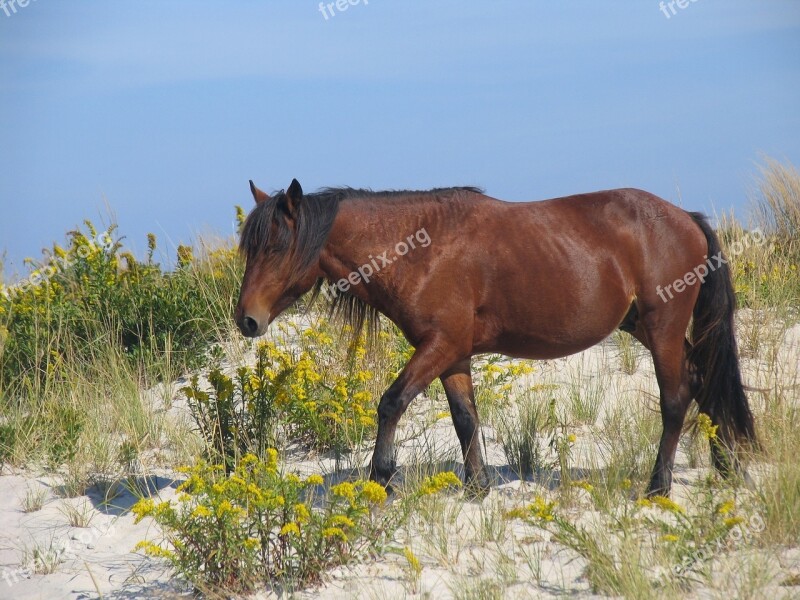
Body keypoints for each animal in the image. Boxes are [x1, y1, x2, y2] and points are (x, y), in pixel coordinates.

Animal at [233, 177, 756, 496]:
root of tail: (686, 218)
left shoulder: (439, 346)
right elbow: (465, 418)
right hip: (646, 327)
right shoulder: (453, 354)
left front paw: (380, 477)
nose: (246, 320)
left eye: (276, 246)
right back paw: (727, 468)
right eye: (248, 248)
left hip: (662, 326)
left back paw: (658, 486)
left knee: (676, 397)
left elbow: (391, 402)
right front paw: (477, 487)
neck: (420, 249)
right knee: (702, 381)